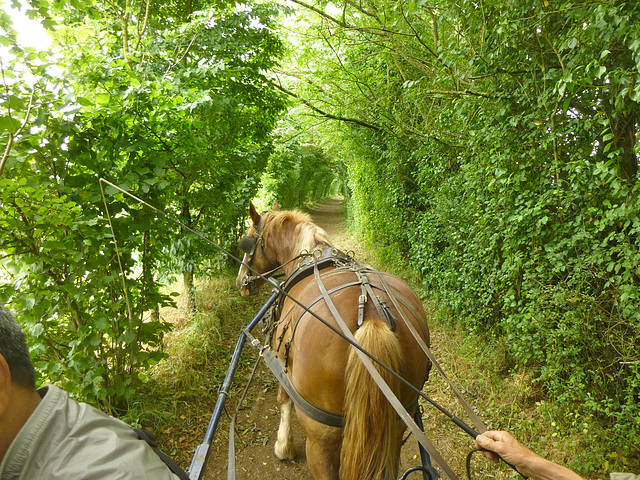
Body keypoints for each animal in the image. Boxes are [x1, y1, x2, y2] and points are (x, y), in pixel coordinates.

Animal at [235, 203, 430, 480]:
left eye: (248, 240)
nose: (241, 281)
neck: (311, 255)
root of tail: (371, 314)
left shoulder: (281, 359)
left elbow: (283, 400)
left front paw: (283, 446)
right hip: (396, 424)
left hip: (320, 436)